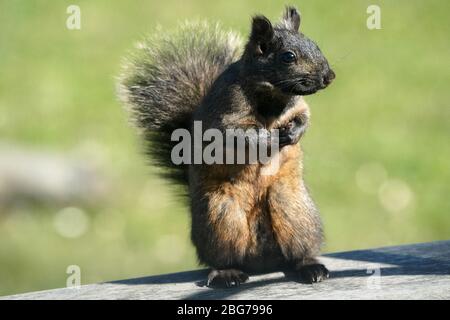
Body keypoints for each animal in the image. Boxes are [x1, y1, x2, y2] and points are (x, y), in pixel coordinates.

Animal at [118, 6, 336, 288]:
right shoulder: (226, 114)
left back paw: (309, 266)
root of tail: (262, 261)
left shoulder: (297, 106)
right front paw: (269, 139)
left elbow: (304, 117)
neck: (272, 97)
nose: (329, 77)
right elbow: (239, 136)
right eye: (288, 56)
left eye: (315, 44)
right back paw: (227, 273)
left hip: (294, 210)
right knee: (224, 258)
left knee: (297, 251)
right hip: (221, 217)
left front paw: (294, 132)